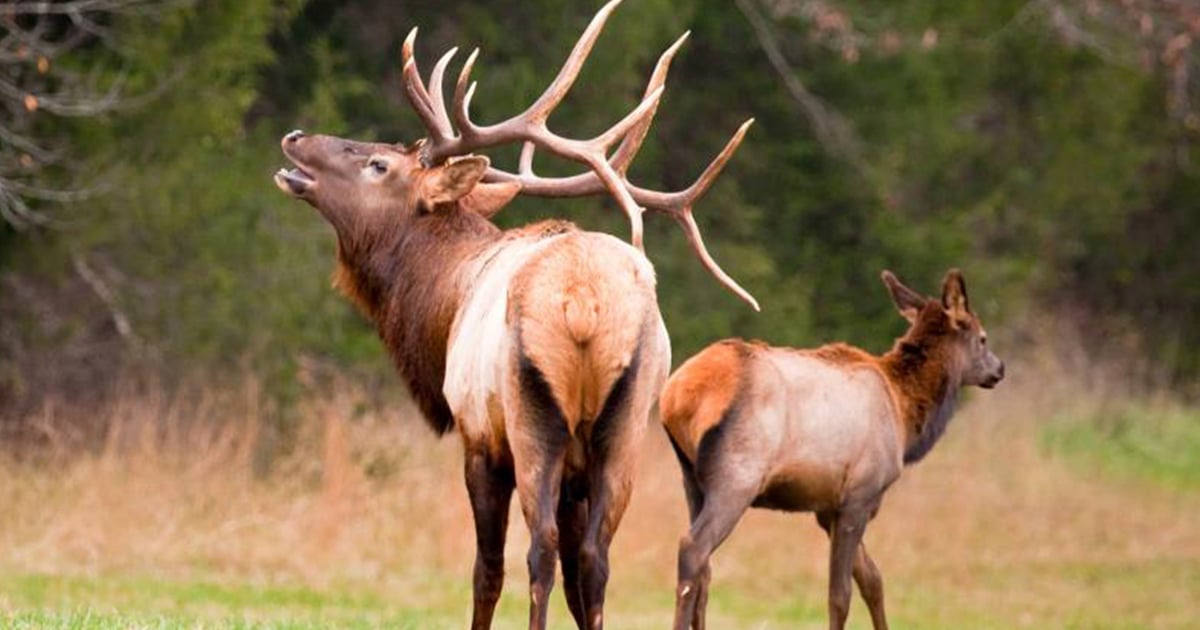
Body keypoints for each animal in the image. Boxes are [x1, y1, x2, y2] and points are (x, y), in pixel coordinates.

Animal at [271, 2, 755, 628]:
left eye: (378, 164)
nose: (296, 136)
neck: (441, 307)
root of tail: (583, 303)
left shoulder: (478, 439)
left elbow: (486, 570)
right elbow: (578, 577)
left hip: (532, 419)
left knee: (539, 551)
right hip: (625, 425)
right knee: (594, 558)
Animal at [660, 269, 1005, 630]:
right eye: (983, 338)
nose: (999, 369)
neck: (905, 414)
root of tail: (677, 396)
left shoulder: (828, 507)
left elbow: (872, 579)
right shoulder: (860, 495)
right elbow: (840, 594)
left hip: (691, 478)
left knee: (705, 569)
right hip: (738, 477)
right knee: (693, 548)